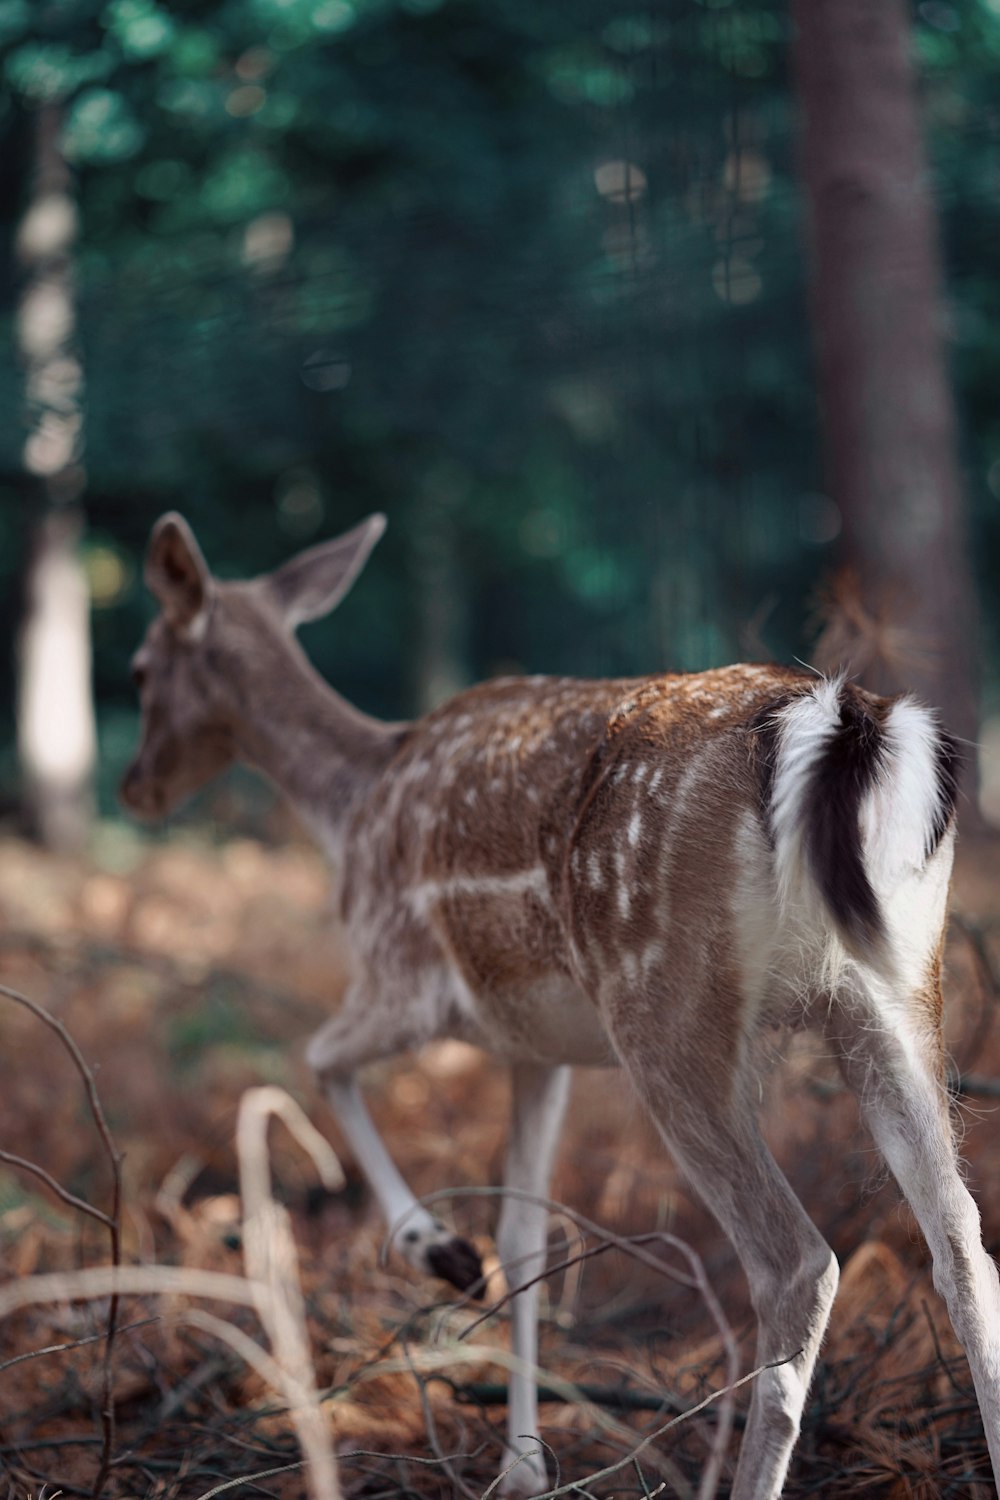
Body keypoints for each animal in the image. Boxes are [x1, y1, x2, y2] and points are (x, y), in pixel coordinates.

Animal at [121, 510, 1000, 1494]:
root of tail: (844, 722)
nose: (134, 786)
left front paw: (444, 1255)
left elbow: (318, 1061)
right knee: (963, 1240)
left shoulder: (402, 973)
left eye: (140, 669)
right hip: (896, 992)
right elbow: (527, 1232)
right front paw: (522, 1463)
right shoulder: (534, 1047)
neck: (353, 808)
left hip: (663, 1005)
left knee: (796, 1261)